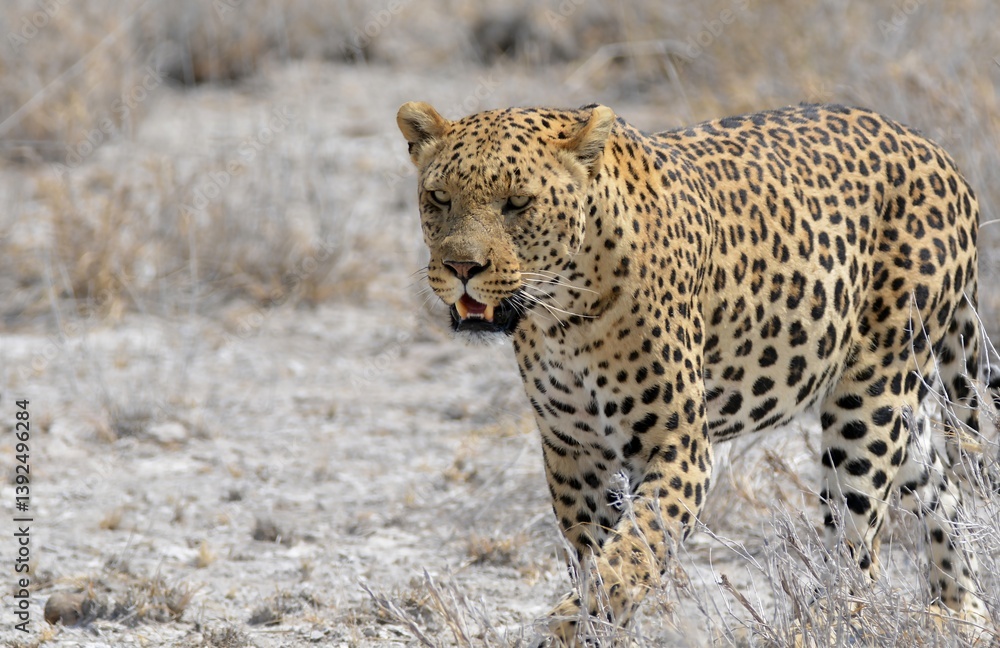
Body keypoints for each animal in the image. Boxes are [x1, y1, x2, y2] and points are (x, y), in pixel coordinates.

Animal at [396, 100, 998, 644]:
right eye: (439, 198)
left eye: (518, 203)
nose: (461, 267)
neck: (562, 315)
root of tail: (941, 155)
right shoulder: (575, 454)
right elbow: (593, 552)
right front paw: (592, 623)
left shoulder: (679, 447)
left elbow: (632, 553)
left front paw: (576, 622)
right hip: (898, 405)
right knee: (940, 486)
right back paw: (961, 609)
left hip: (869, 402)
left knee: (857, 547)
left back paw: (831, 624)